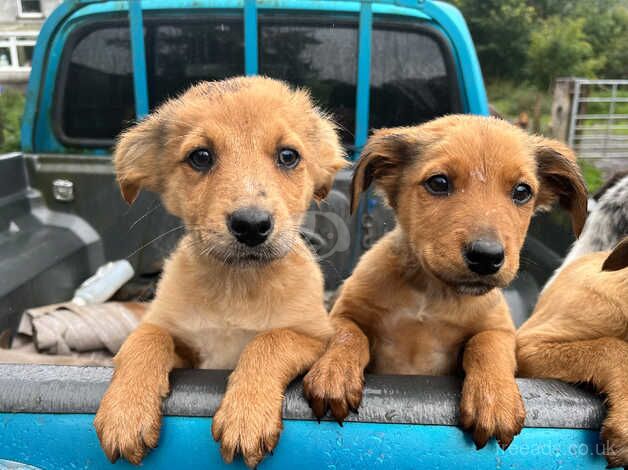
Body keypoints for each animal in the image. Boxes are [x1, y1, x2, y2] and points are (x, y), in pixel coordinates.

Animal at [95, 77, 346, 466]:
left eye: (288, 156)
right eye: (201, 157)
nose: (252, 225)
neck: (235, 286)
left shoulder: (317, 337)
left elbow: (269, 340)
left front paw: (246, 416)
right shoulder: (184, 343)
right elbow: (147, 336)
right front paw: (125, 412)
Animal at [304, 115, 588, 450]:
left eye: (522, 191)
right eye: (439, 183)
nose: (487, 257)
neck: (431, 293)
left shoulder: (499, 328)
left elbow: (486, 345)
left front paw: (494, 399)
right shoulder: (345, 312)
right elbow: (348, 334)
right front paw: (333, 372)